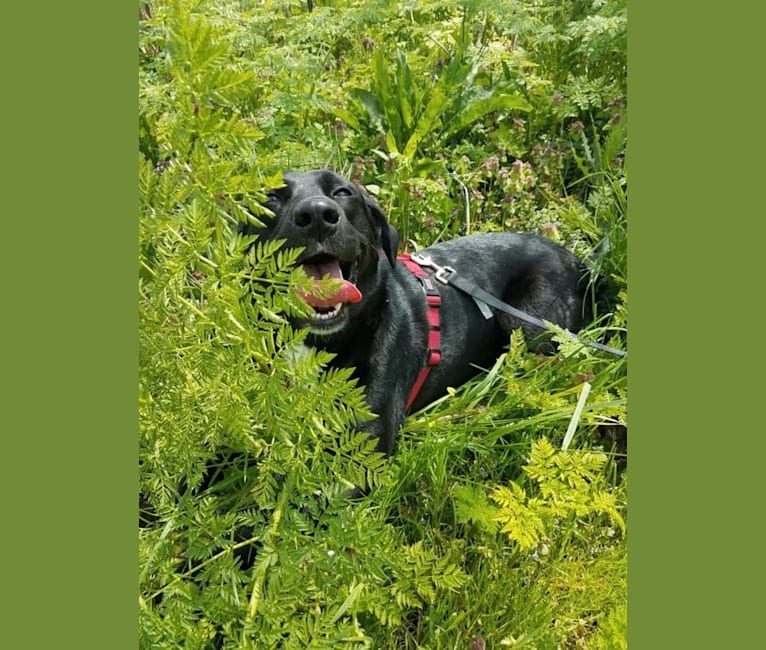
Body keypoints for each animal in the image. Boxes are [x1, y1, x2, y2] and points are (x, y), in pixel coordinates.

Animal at [246, 170, 600, 454]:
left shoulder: (364, 439)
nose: (317, 214)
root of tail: (580, 262)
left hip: (528, 321)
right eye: (270, 197)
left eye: (343, 192)